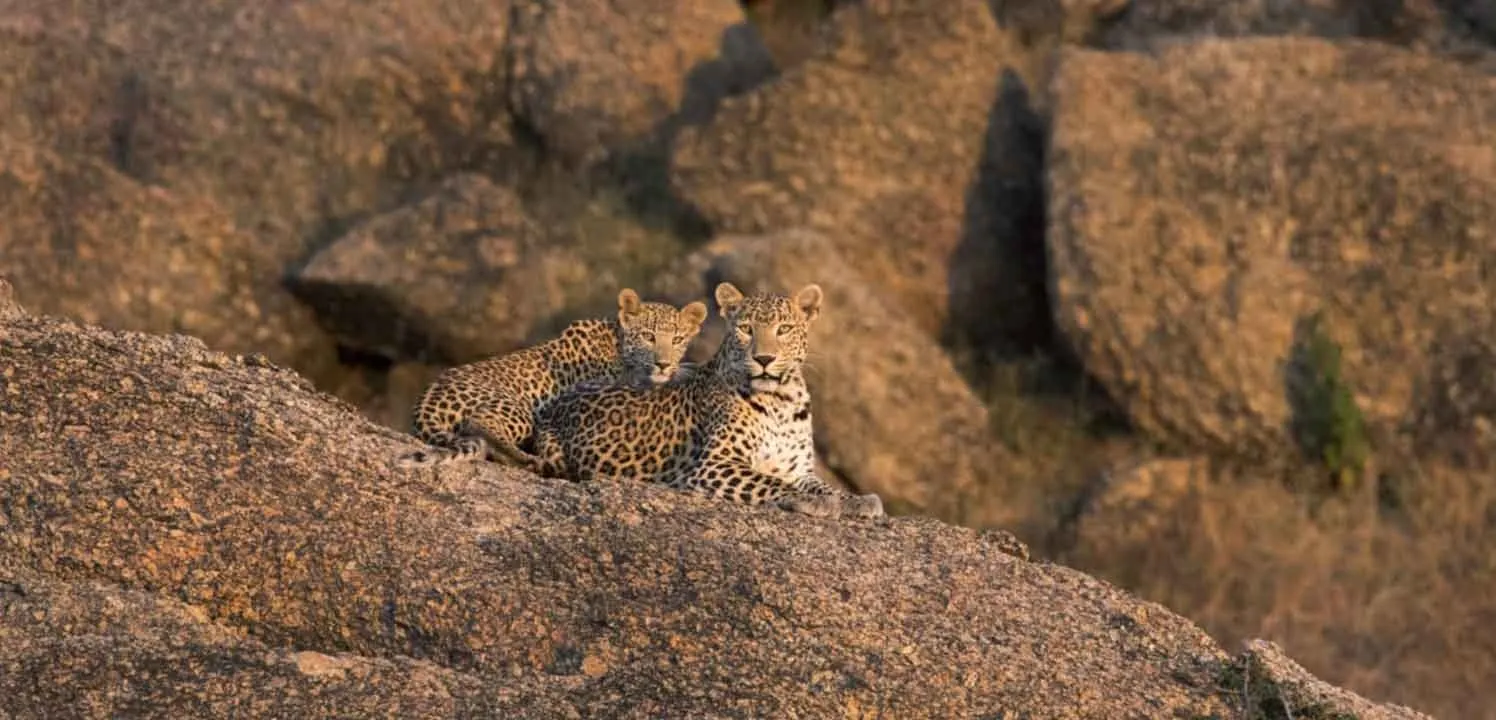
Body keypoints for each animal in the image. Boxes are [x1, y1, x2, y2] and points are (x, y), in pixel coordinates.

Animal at [398, 288, 708, 469]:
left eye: (678, 339)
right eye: (648, 336)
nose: (663, 364)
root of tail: (423, 405)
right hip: (515, 409)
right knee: (480, 425)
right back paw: (527, 458)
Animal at [528, 281, 885, 520]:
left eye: (783, 329)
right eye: (745, 328)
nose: (765, 359)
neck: (780, 401)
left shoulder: (799, 470)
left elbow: (824, 486)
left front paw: (855, 500)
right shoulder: (714, 464)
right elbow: (768, 481)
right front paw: (816, 502)